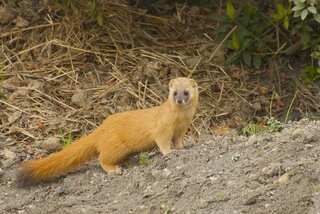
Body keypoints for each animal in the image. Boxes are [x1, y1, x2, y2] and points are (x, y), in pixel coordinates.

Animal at [17, 77, 199, 186]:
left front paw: (183, 147)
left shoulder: (183, 129)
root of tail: (101, 128)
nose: (179, 99)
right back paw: (115, 169)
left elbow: (178, 140)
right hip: (116, 146)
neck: (179, 120)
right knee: (102, 158)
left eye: (186, 92)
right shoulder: (162, 127)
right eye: (174, 92)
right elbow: (162, 140)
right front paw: (169, 152)